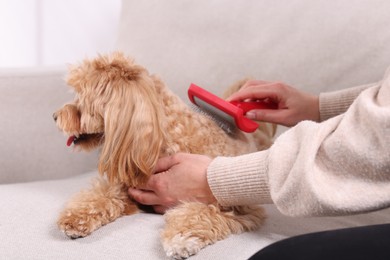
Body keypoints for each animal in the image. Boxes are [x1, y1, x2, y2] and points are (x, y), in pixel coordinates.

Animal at [53, 51, 276, 258]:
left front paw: (181, 238)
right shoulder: (126, 186)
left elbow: (200, 212)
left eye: (81, 98)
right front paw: (76, 217)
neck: (161, 141)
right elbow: (101, 195)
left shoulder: (233, 204)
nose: (55, 116)